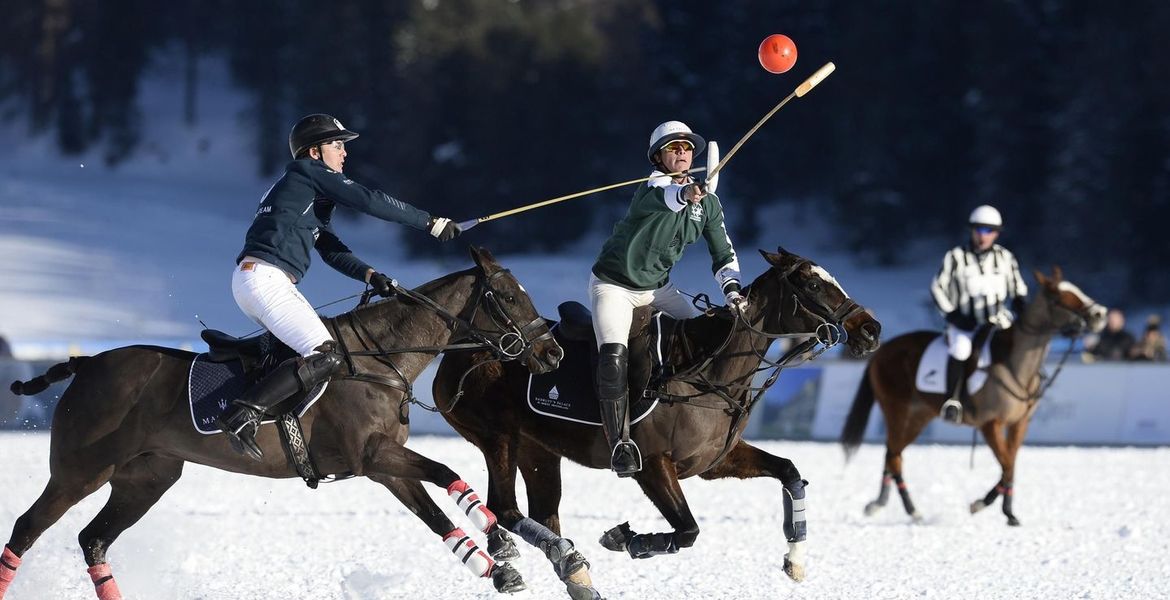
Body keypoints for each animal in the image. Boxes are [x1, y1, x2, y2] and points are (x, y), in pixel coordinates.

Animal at [0, 245, 566, 596]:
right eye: (509, 297)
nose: (552, 353)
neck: (381, 359)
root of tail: (87, 363)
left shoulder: (382, 467)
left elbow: (435, 515)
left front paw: (499, 567)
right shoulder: (373, 455)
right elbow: (447, 473)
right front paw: (501, 541)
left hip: (146, 477)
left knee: (92, 539)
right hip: (81, 468)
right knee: (28, 528)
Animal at [435, 245, 879, 596]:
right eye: (812, 285)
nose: (871, 329)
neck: (707, 371)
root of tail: (461, 347)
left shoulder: (714, 462)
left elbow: (789, 471)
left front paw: (796, 560)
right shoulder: (651, 465)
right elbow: (688, 530)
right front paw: (624, 538)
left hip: (539, 450)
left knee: (543, 513)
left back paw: (574, 571)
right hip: (498, 437)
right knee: (504, 507)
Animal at [842, 266, 1104, 523]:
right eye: (1060, 297)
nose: (1100, 314)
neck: (1015, 366)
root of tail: (881, 351)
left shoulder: (1020, 423)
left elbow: (1011, 465)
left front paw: (1000, 509)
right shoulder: (991, 424)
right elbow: (1007, 464)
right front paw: (990, 507)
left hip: (918, 416)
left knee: (892, 454)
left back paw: (880, 503)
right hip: (897, 410)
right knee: (894, 456)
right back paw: (910, 510)